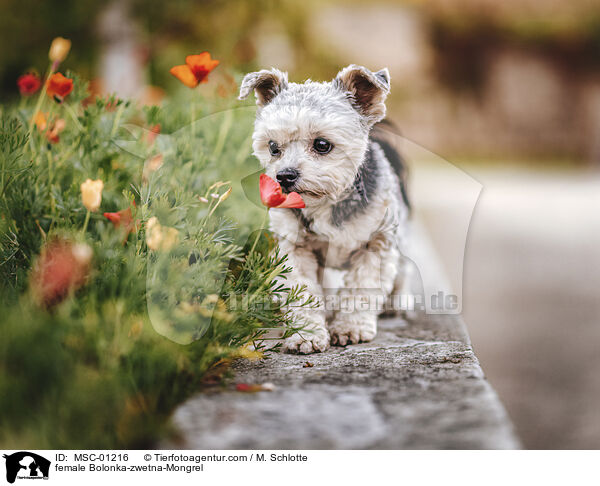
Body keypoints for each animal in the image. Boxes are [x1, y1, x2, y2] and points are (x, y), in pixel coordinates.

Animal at [241, 63, 410, 354]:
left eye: (322, 144)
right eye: (273, 147)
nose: (284, 176)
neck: (327, 201)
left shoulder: (376, 244)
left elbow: (362, 289)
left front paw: (351, 328)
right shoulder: (295, 250)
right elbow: (303, 293)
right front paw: (306, 334)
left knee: (401, 274)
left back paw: (395, 302)